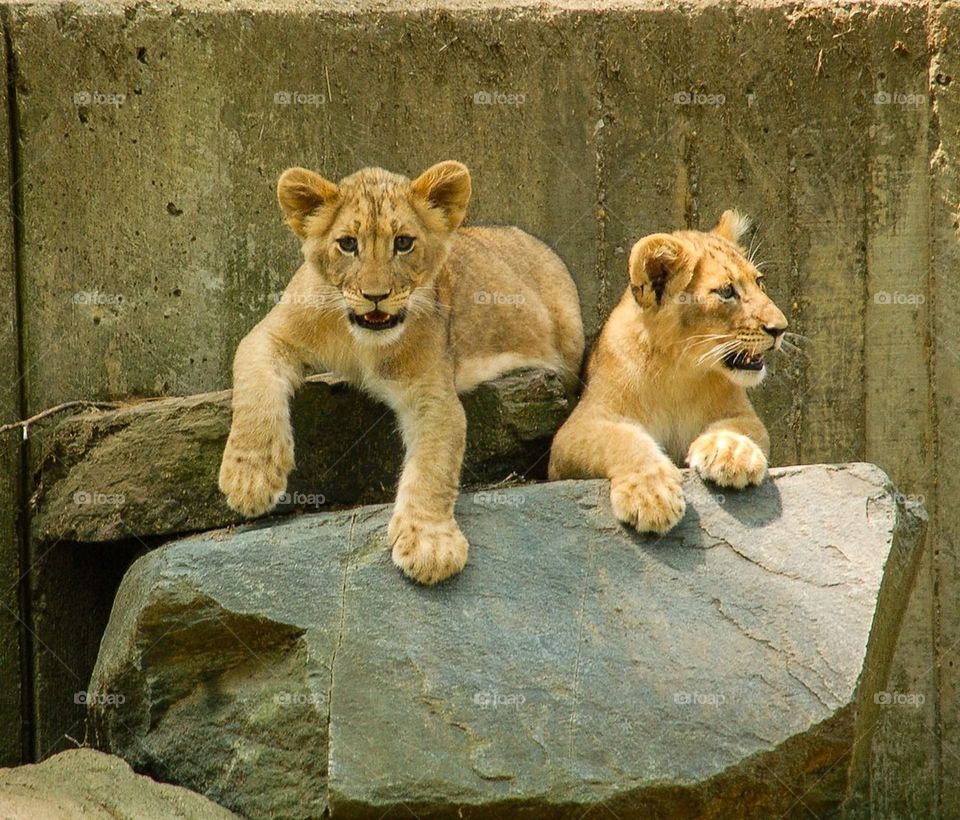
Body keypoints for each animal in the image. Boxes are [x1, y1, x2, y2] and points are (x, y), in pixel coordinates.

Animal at [219, 161, 584, 584]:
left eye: (404, 242)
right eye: (348, 244)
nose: (375, 296)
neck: (362, 344)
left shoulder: (432, 393)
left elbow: (434, 466)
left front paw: (430, 543)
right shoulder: (269, 335)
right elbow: (255, 391)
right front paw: (250, 478)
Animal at [548, 211, 787, 534]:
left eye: (759, 282)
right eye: (727, 291)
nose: (781, 328)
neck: (678, 373)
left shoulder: (743, 414)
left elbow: (741, 427)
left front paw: (730, 452)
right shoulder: (574, 431)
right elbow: (621, 438)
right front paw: (651, 495)